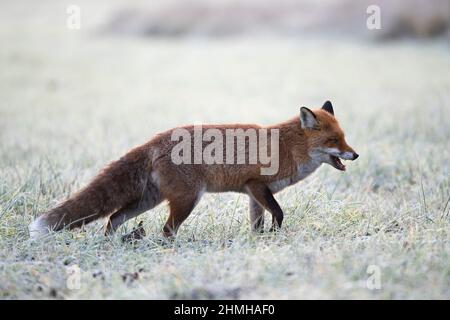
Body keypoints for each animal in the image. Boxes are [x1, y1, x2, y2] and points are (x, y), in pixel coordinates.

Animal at [28, 101, 358, 239]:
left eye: (344, 137)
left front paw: (260, 242)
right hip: (187, 200)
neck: (287, 147)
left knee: (113, 218)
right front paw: (275, 239)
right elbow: (278, 213)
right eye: (334, 141)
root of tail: (154, 140)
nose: (355, 155)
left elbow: (258, 223)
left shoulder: (253, 194)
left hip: (150, 200)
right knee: (165, 230)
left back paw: (111, 244)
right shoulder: (257, 185)